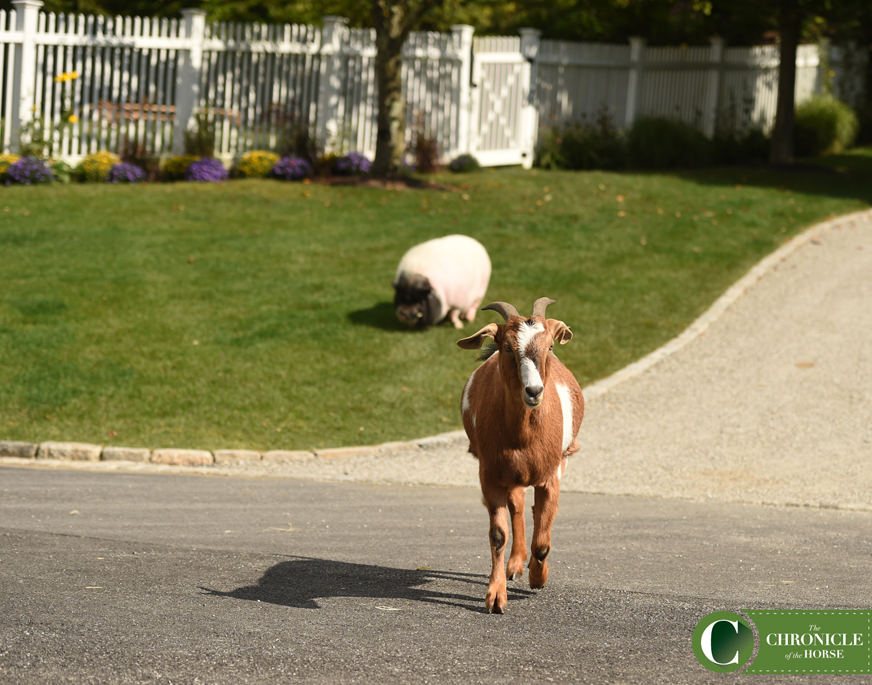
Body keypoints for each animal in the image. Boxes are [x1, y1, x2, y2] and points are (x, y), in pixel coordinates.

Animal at [456, 296, 584, 612]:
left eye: (550, 346)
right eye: (507, 347)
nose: (534, 391)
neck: (523, 437)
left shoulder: (550, 476)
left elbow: (543, 541)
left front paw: (539, 578)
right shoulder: (490, 475)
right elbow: (498, 535)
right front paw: (496, 597)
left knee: (537, 513)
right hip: (511, 474)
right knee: (517, 504)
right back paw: (514, 564)